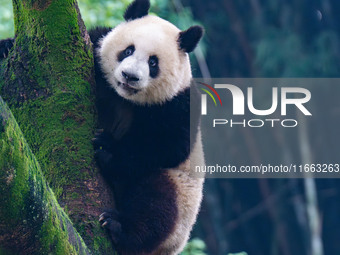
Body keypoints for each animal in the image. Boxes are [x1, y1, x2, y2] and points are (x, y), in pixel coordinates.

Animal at [88, 0, 205, 255]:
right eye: (128, 50)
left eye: (153, 62)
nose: (129, 76)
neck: (126, 98)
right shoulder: (96, 51)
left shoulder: (178, 104)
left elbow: (166, 146)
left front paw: (108, 148)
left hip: (181, 199)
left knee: (156, 206)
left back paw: (119, 228)